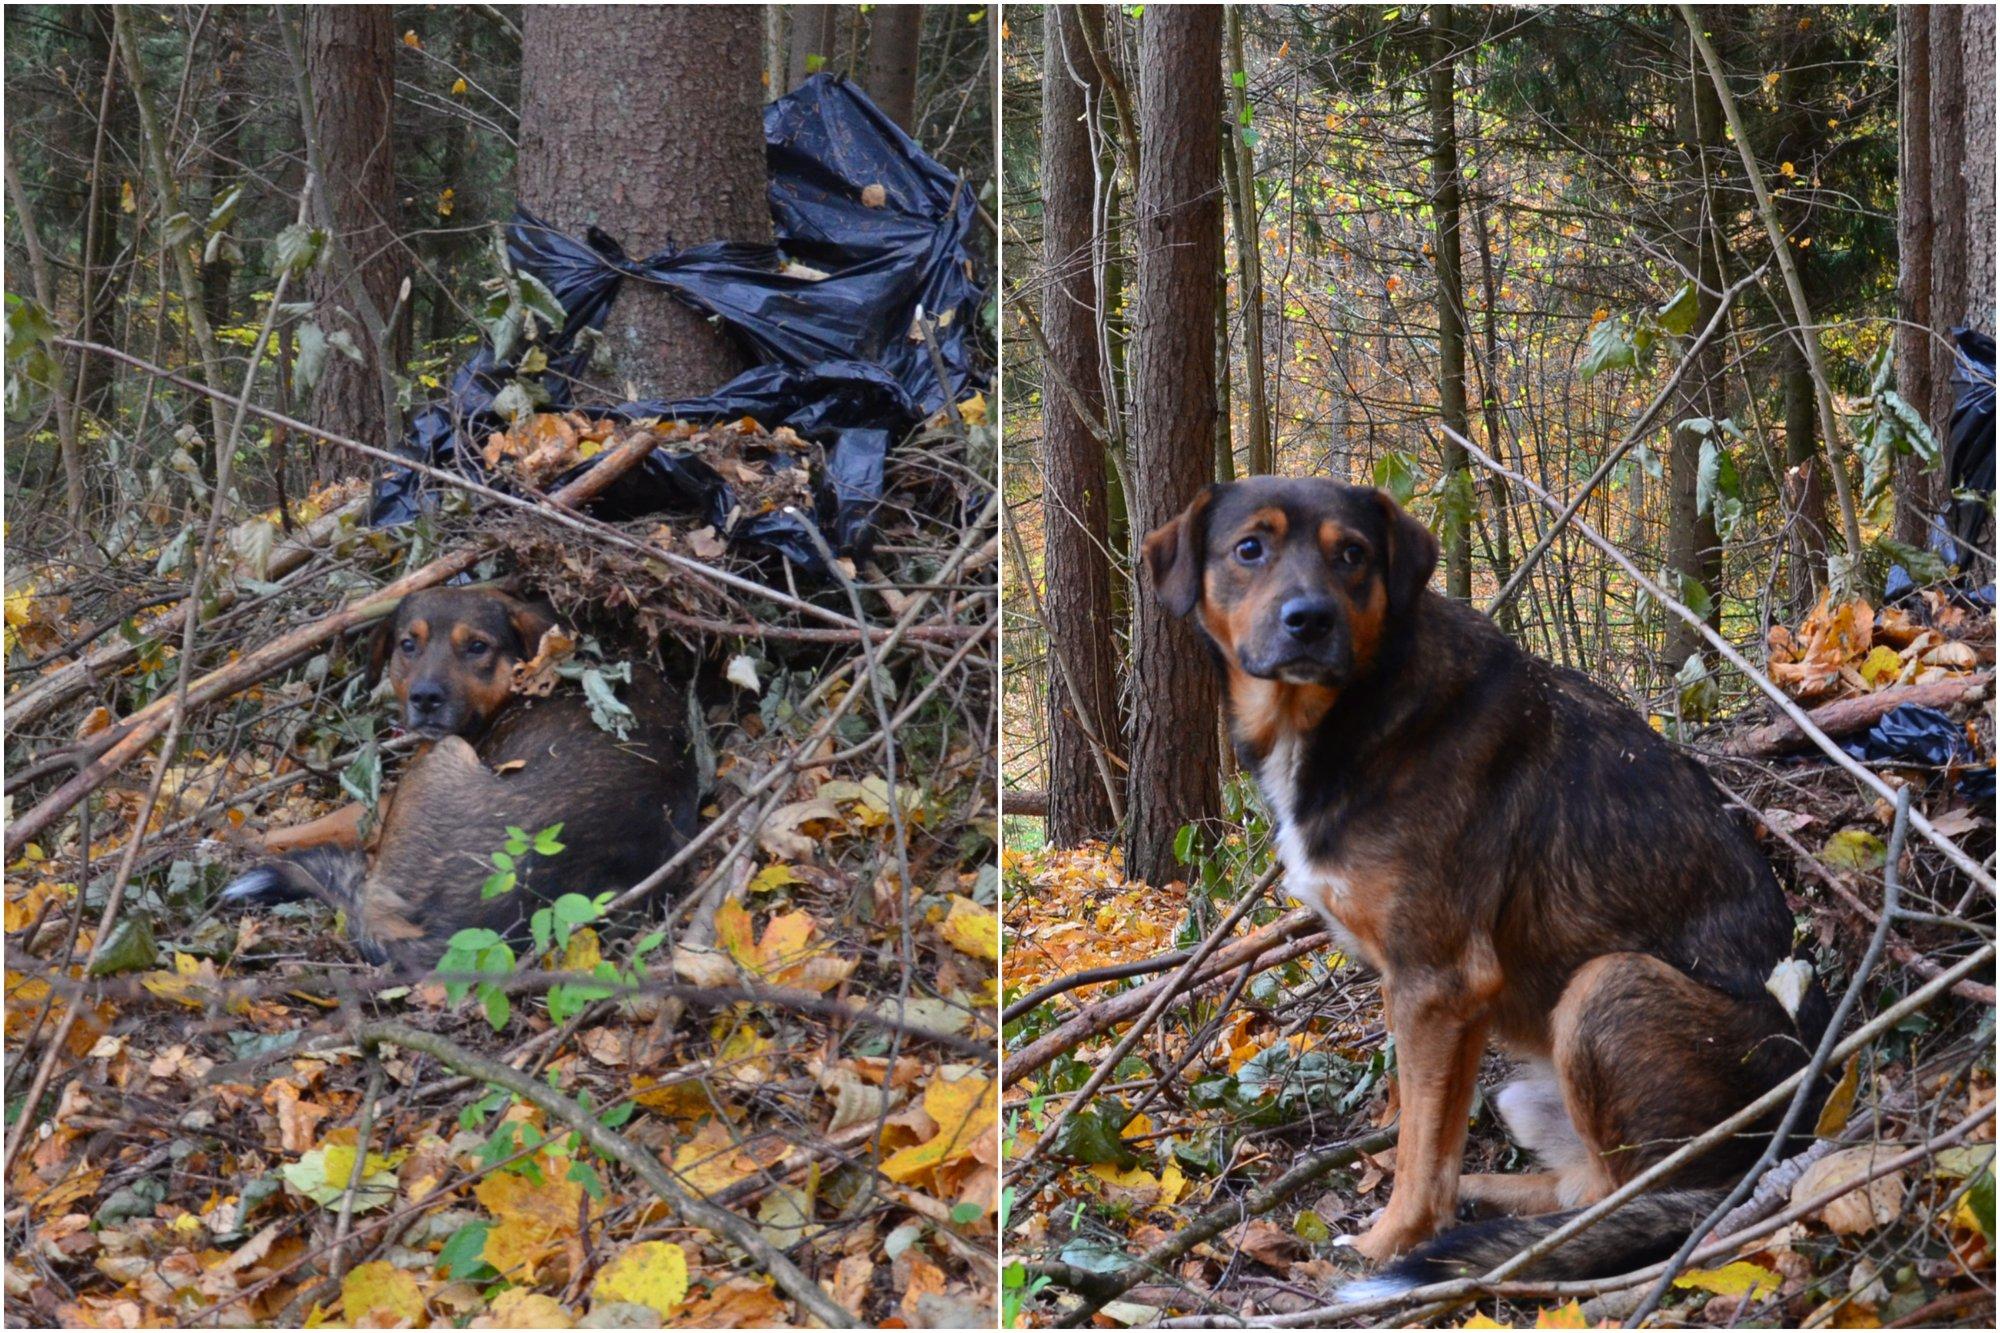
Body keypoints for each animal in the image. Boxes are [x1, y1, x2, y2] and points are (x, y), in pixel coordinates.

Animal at [220, 580, 700, 964]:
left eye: (477, 647)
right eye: (408, 645)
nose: (425, 698)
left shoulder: (396, 793)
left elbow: (322, 824)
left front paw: (241, 835)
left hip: (441, 759)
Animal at [1144, 474, 1832, 1288]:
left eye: (1353, 554)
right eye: (1250, 547)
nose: (1309, 620)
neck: (1361, 708)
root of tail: (1792, 1134)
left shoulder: (1439, 980)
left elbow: (1420, 1150)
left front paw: (1388, 1241)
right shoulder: (1434, 995)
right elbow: (1423, 1126)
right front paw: (1418, 1212)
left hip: (1604, 991)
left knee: (1619, 1200)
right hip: (1523, 1090)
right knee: (1579, 1187)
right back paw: (1488, 1203)